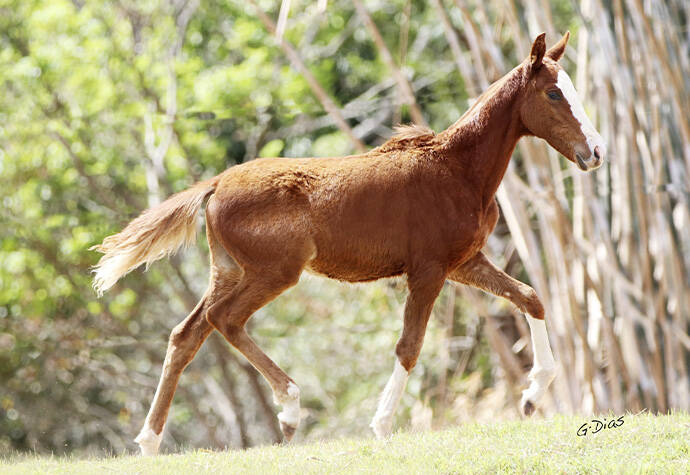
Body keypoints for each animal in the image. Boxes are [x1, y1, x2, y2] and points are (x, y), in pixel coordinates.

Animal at [91, 31, 600, 456]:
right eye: (554, 93)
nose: (595, 153)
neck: (457, 170)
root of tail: (215, 184)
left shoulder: (465, 262)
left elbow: (530, 297)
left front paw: (533, 395)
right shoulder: (429, 269)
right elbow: (409, 345)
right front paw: (381, 425)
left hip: (230, 270)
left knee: (187, 333)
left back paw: (149, 441)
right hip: (276, 272)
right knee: (224, 320)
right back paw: (290, 408)